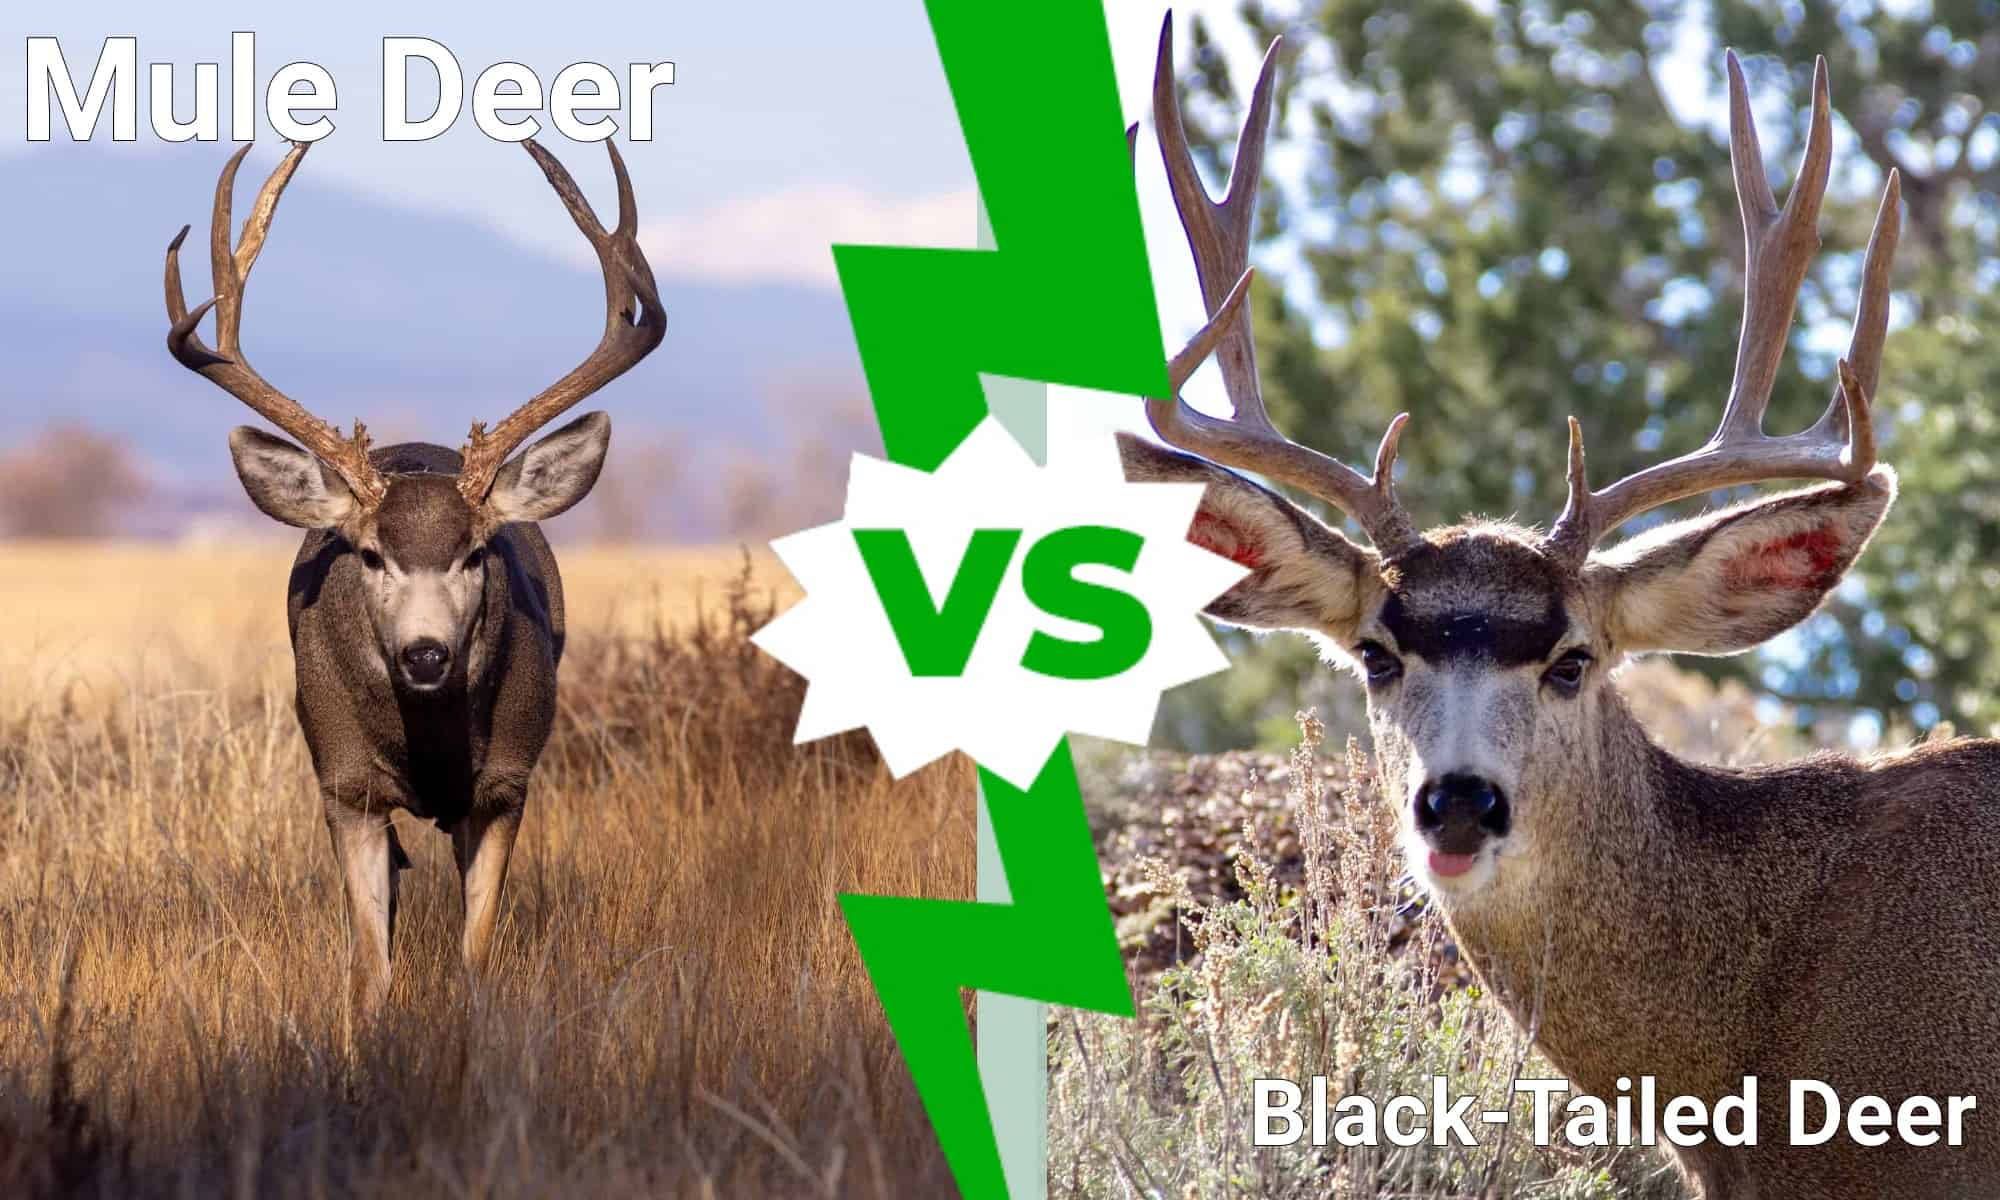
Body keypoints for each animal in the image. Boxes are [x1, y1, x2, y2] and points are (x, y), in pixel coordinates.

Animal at [162, 138, 664, 1015]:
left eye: (475, 553)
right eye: (370, 555)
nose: (425, 652)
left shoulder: (505, 784)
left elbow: (476, 958)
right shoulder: (345, 783)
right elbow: (370, 969)